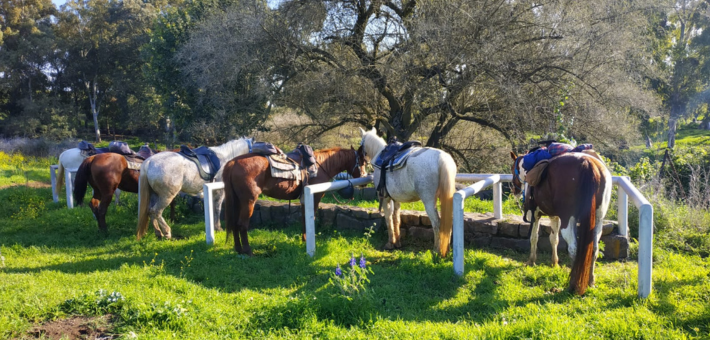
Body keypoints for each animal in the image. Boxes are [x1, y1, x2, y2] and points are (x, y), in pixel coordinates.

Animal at [222, 146, 368, 255]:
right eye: (362, 162)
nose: (365, 179)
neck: (321, 166)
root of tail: (232, 163)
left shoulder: (305, 198)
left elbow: (304, 218)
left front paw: (304, 240)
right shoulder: (314, 197)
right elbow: (311, 217)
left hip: (237, 201)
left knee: (234, 223)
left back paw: (238, 249)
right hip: (248, 201)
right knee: (242, 224)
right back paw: (248, 251)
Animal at [358, 127, 458, 255]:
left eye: (361, 145)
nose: (362, 168)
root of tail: (442, 158)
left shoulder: (385, 198)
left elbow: (388, 218)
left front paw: (390, 243)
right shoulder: (396, 199)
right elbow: (396, 218)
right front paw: (397, 242)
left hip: (429, 201)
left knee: (437, 223)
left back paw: (436, 250)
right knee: (447, 223)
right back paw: (446, 250)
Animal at [508, 151, 616, 294]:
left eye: (512, 168)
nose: (514, 190)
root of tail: (586, 163)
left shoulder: (535, 214)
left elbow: (534, 237)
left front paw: (531, 261)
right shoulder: (554, 217)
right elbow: (554, 239)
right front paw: (554, 263)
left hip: (568, 220)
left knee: (574, 249)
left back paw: (573, 285)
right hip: (598, 220)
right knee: (594, 249)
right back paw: (591, 282)